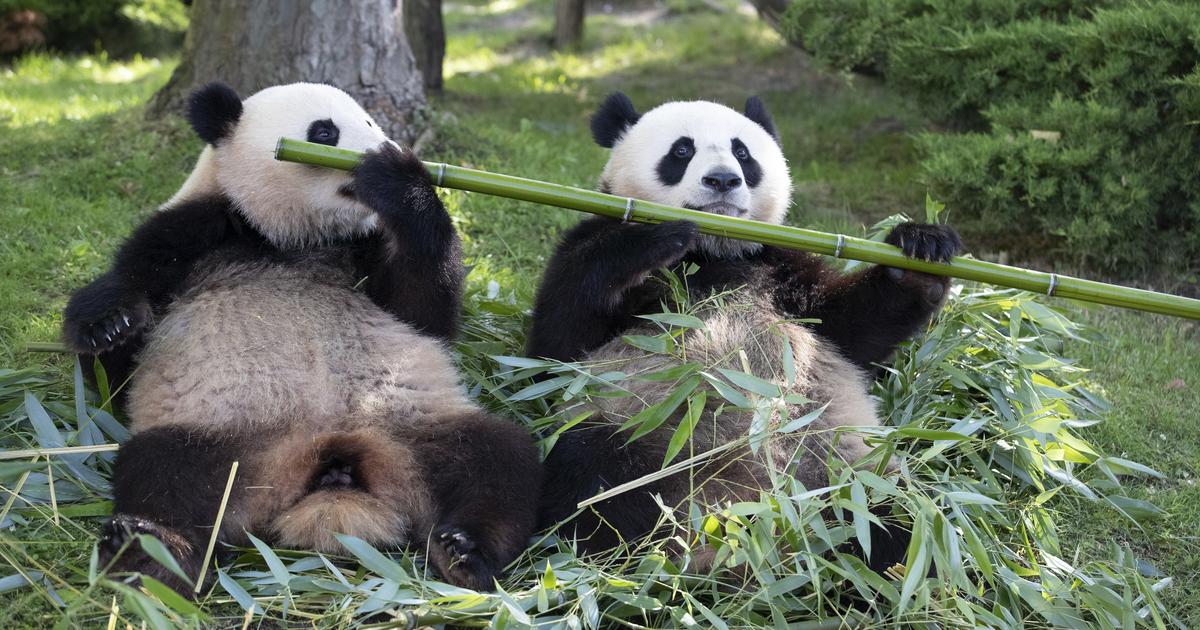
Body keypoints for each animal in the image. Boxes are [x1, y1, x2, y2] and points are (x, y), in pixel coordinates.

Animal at [62, 82, 541, 593]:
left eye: (369, 122)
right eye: (324, 132)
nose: (380, 148)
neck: (292, 238)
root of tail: (329, 468)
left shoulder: (369, 245)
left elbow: (424, 311)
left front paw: (397, 178)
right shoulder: (195, 227)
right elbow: (116, 370)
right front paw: (111, 326)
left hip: (417, 428)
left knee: (496, 459)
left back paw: (466, 551)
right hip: (220, 437)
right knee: (163, 473)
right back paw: (152, 550)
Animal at [529, 92, 961, 570]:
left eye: (742, 152)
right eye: (682, 150)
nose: (722, 180)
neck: (713, 249)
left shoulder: (781, 265)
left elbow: (854, 329)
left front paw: (921, 250)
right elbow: (555, 347)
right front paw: (650, 240)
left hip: (848, 467)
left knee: (904, 521)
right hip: (636, 428)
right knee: (594, 483)